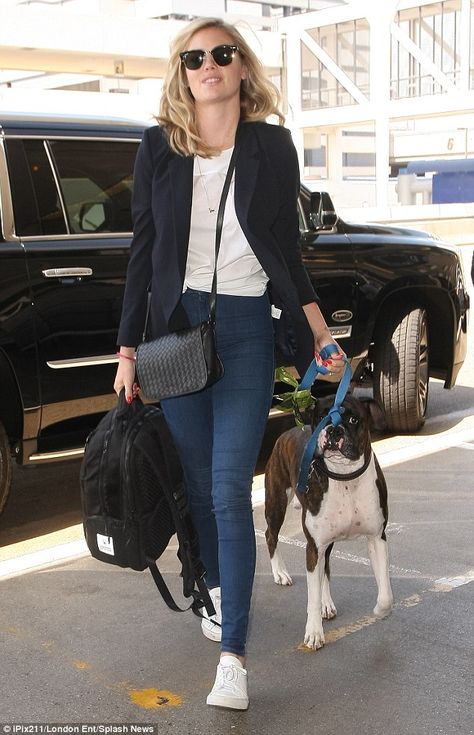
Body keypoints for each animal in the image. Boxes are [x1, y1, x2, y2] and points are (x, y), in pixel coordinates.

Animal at [264, 396, 394, 648]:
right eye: (323, 416)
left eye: (353, 419)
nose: (334, 430)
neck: (345, 479)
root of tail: (289, 431)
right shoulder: (313, 547)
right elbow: (311, 596)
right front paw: (314, 632)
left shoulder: (377, 538)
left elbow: (386, 594)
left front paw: (380, 611)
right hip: (276, 502)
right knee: (270, 534)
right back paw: (280, 573)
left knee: (325, 568)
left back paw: (326, 603)